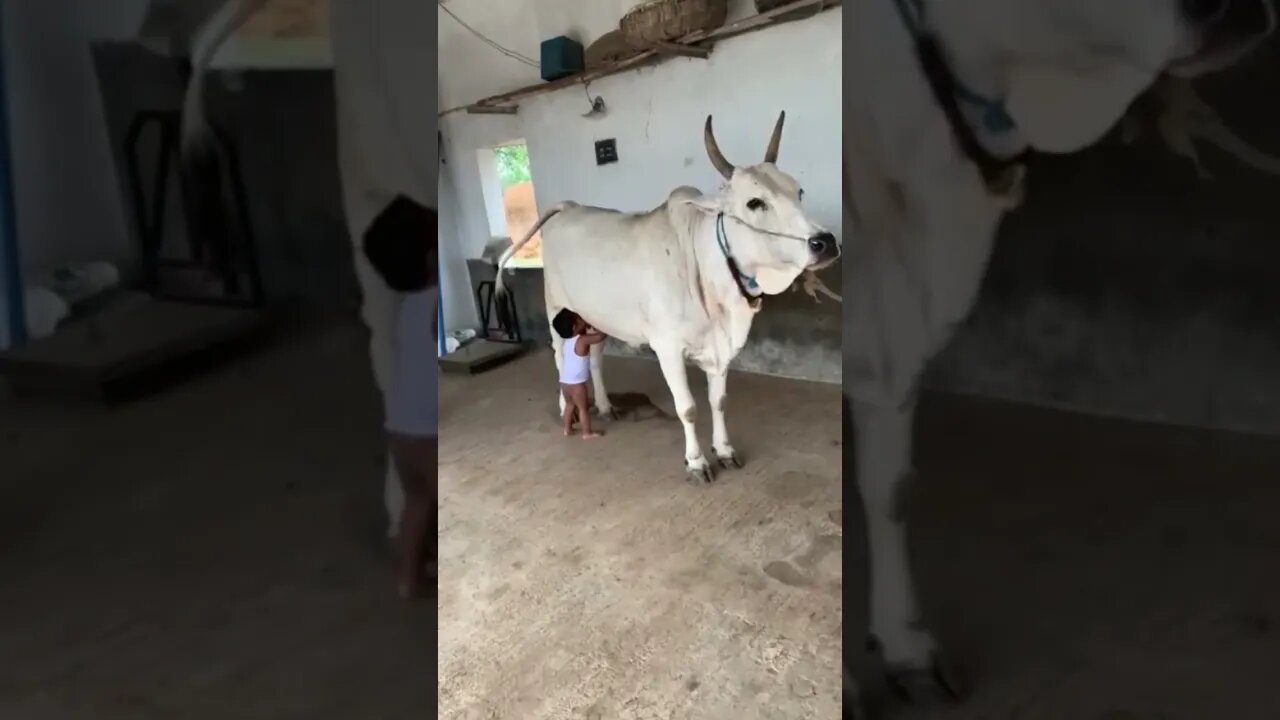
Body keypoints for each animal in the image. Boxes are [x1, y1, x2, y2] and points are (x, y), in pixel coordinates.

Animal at [491, 113, 839, 481]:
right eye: (754, 202)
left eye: (798, 191)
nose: (825, 242)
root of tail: (569, 207)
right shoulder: (667, 348)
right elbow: (687, 408)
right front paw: (696, 462)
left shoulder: (719, 351)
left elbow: (718, 402)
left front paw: (725, 450)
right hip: (557, 308)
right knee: (560, 356)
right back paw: (565, 409)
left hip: (593, 317)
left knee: (594, 359)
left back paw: (605, 406)